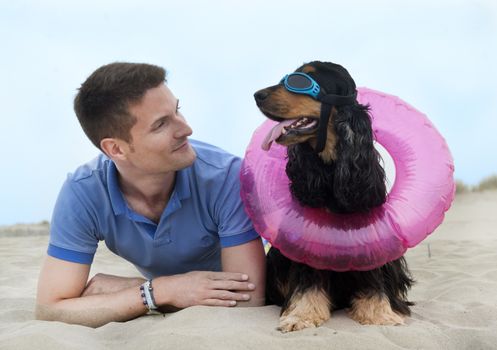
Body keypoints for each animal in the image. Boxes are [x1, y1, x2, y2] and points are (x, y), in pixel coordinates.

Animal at [254, 61, 412, 332]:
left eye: (303, 80)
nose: (257, 95)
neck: (332, 166)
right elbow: (307, 281)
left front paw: (379, 314)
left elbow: (374, 278)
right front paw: (302, 315)